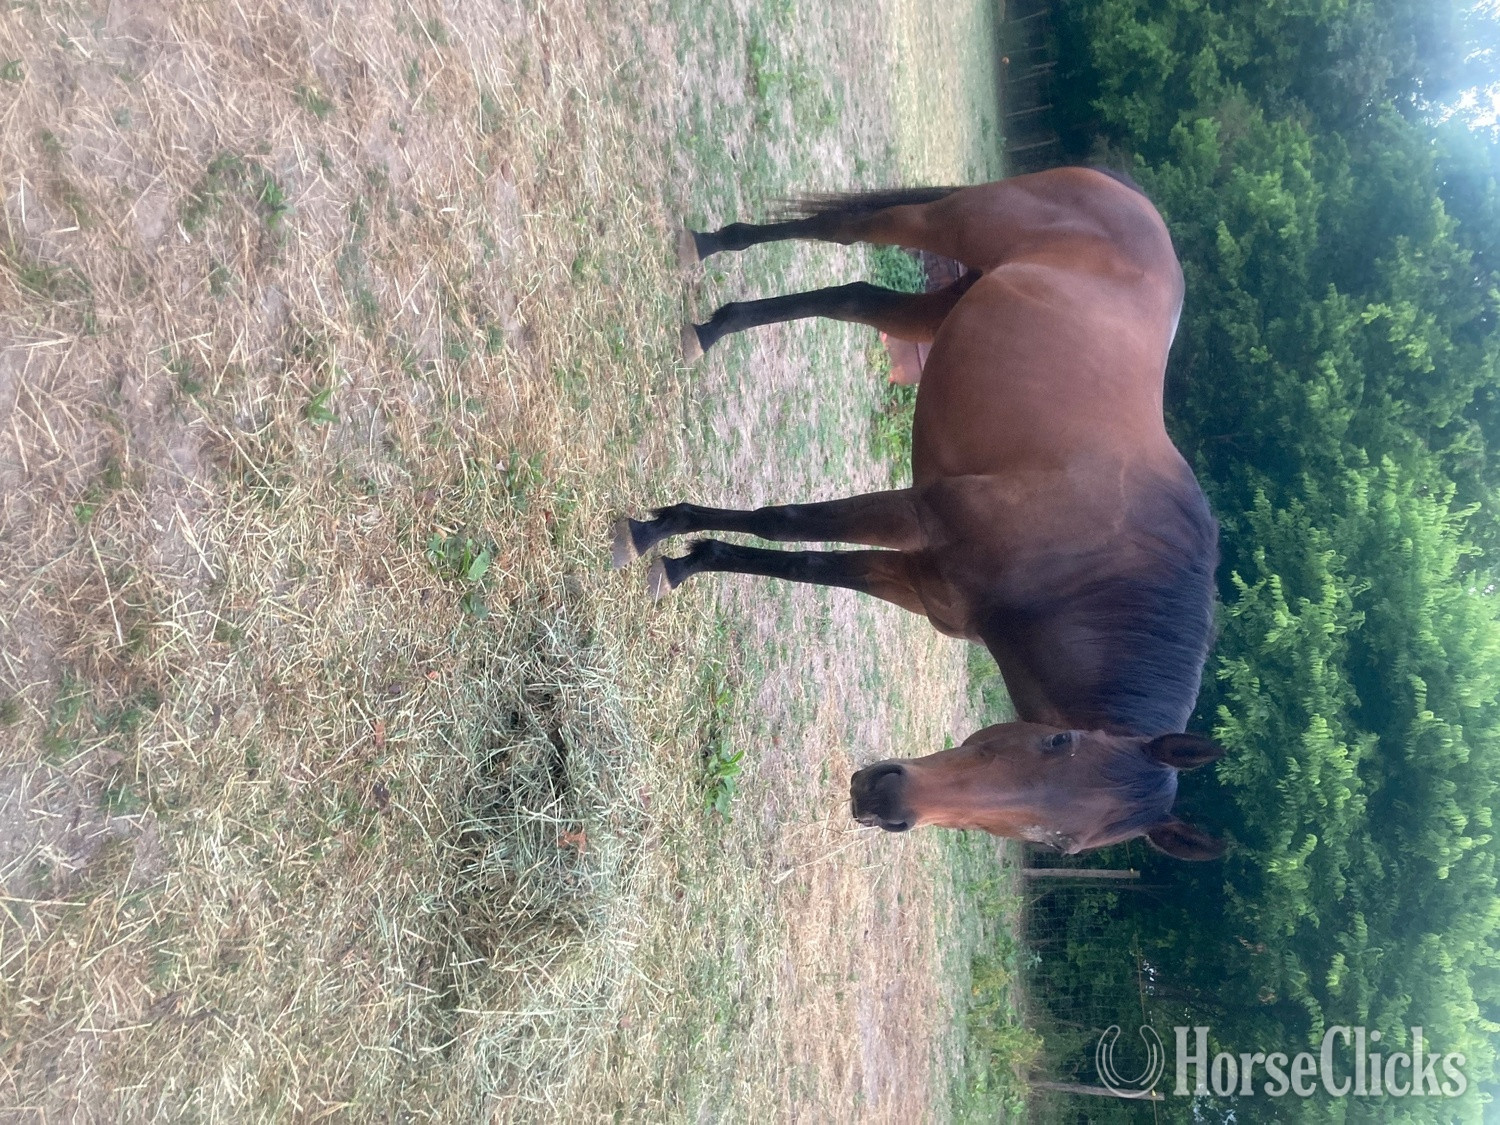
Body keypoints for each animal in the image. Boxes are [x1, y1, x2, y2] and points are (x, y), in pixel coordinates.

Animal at [615, 168, 1226, 860]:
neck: (1084, 572)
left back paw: (714, 326)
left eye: (1060, 847)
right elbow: (786, 522)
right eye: (1056, 740)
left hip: (945, 305)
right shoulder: (915, 513)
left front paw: (688, 559)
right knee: (842, 231)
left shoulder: (919, 582)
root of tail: (1131, 199)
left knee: (855, 298)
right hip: (942, 225)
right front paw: (656, 533)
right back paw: (710, 248)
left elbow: (806, 567)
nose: (883, 800)